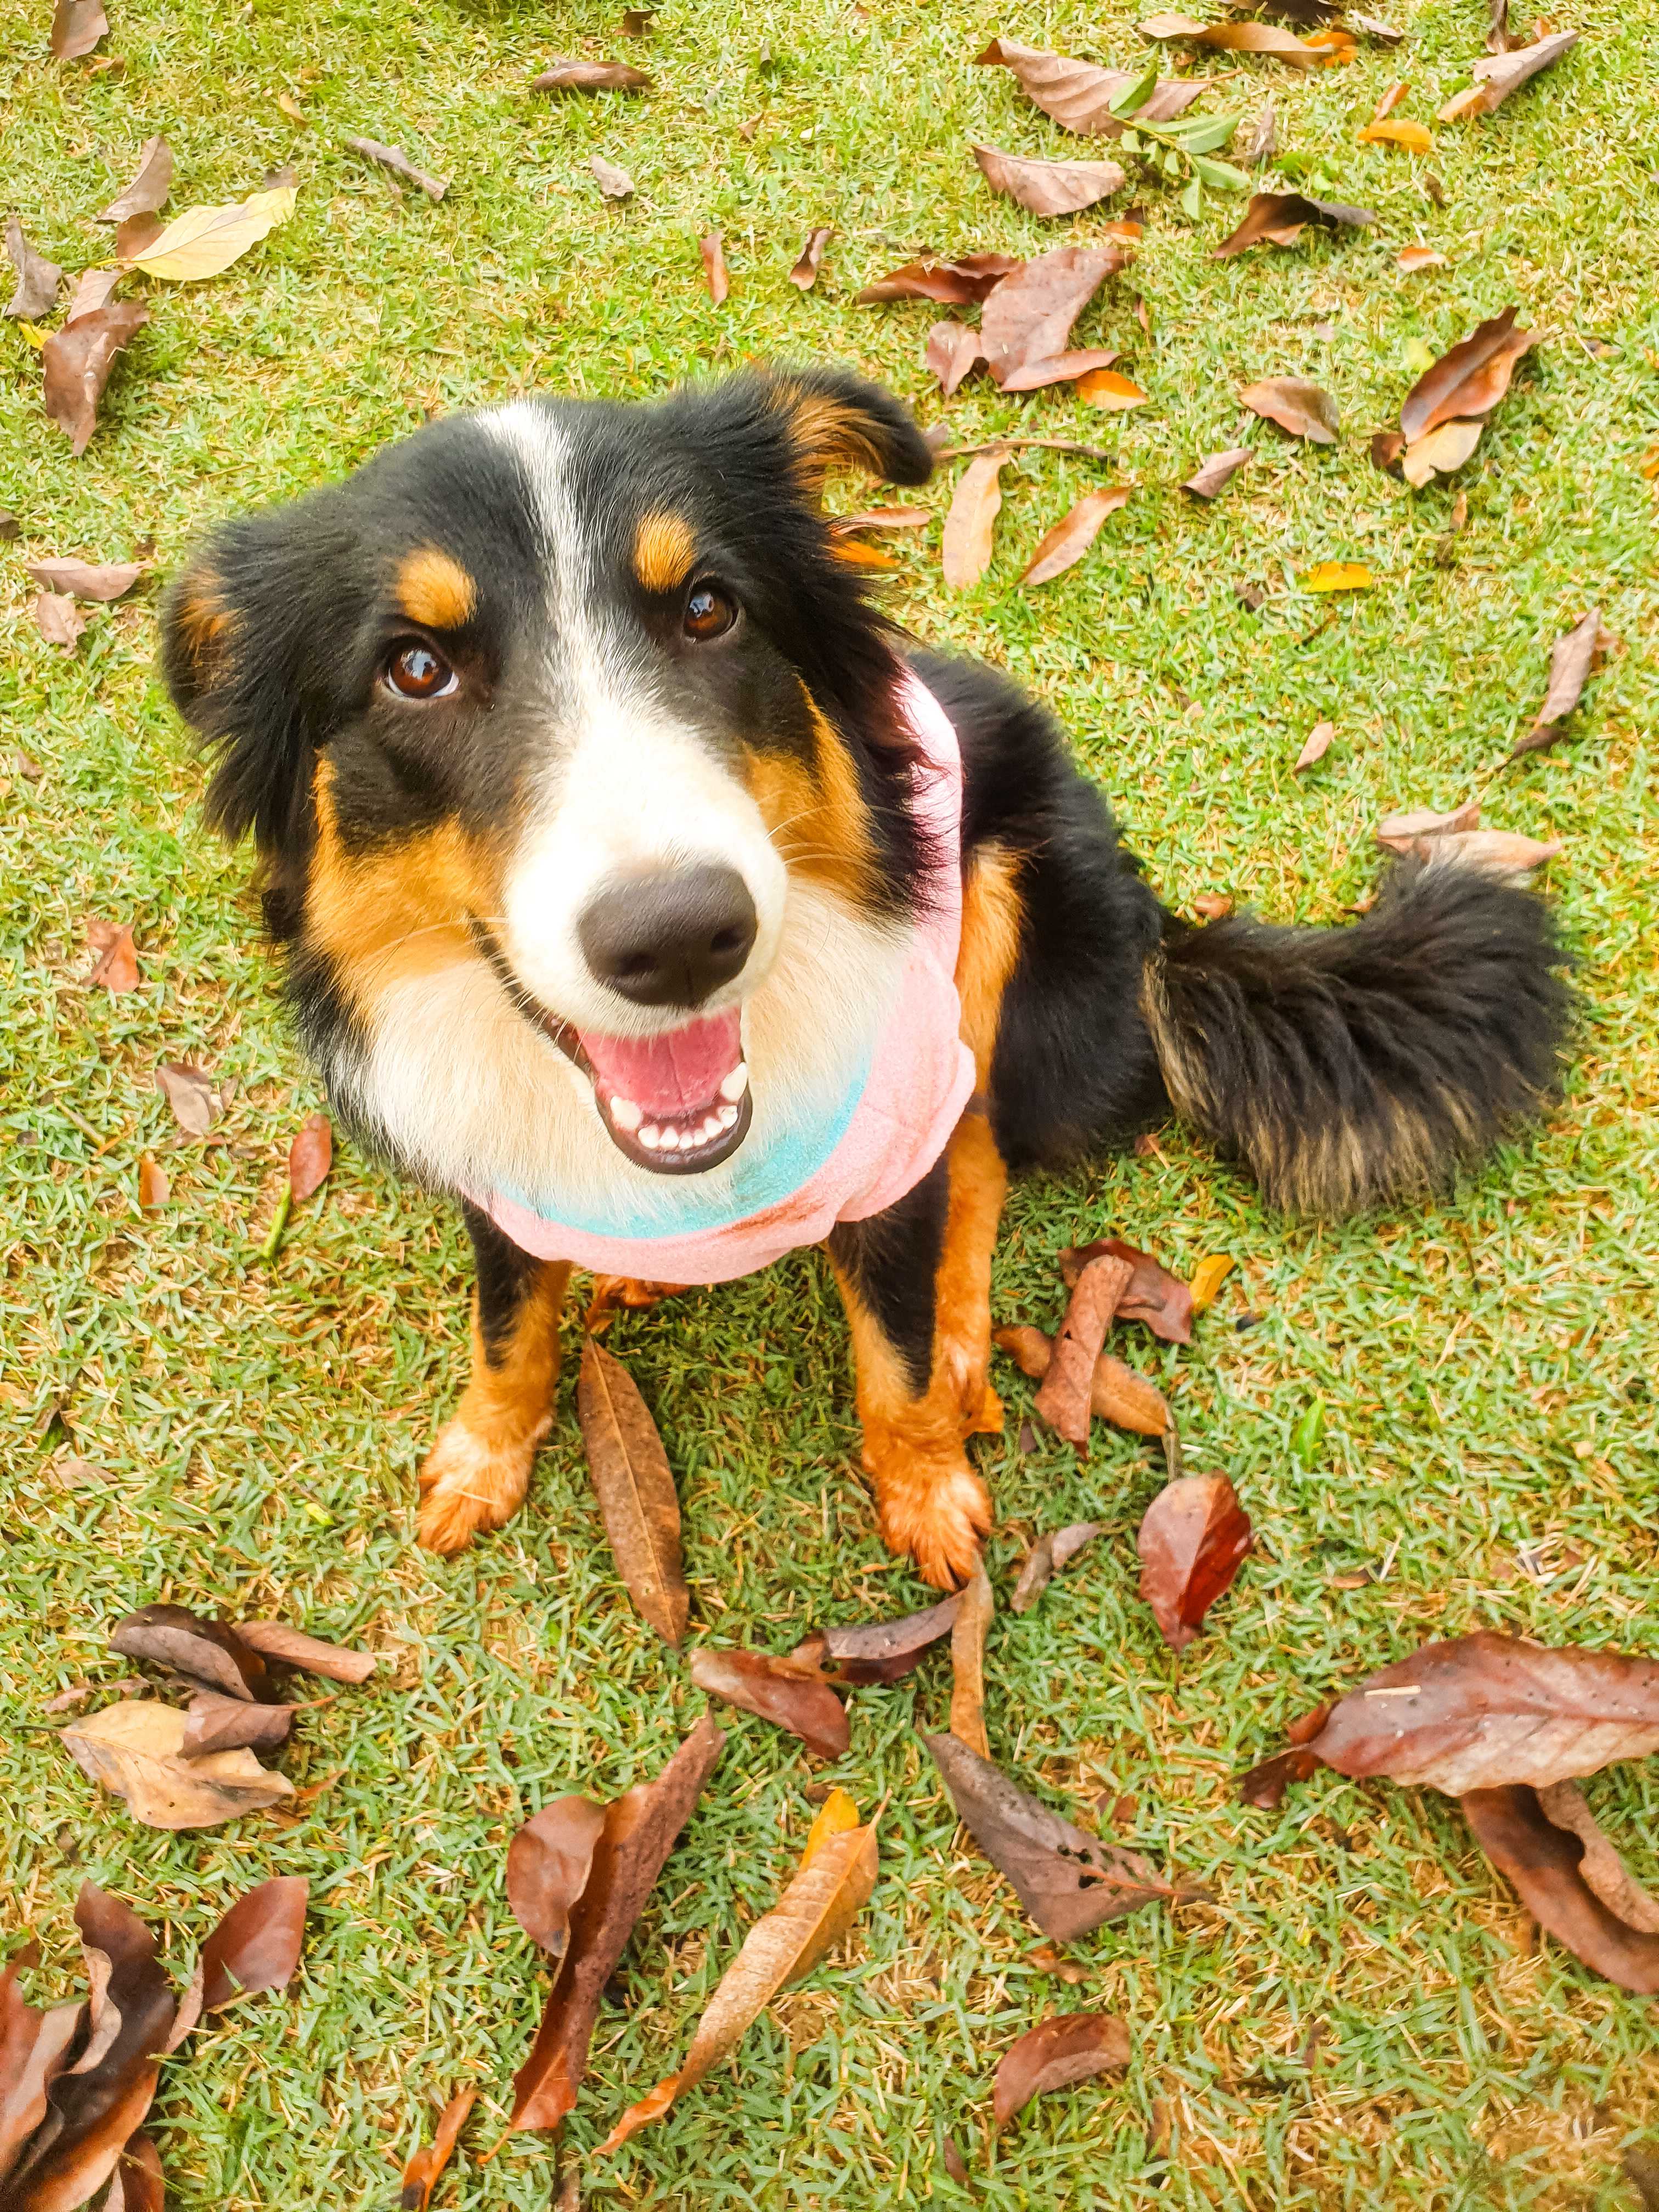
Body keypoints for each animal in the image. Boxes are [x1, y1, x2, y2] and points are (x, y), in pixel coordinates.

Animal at [161, 365, 1570, 1588]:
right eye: (416, 667)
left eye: (709, 608)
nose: (681, 936)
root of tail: (1163, 929)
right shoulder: (500, 1171)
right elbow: (508, 1325)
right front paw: (483, 1454)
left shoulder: (893, 1143)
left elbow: (890, 1351)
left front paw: (927, 1489)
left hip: (1006, 897)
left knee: (986, 1148)